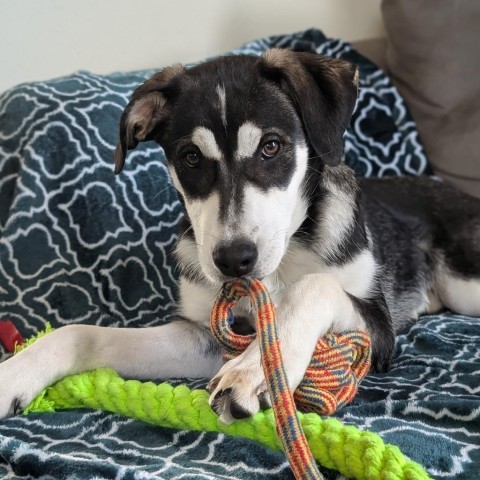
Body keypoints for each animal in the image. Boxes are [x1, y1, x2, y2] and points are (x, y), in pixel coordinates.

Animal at [0, 49, 480, 424]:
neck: (288, 252)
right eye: (191, 157)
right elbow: (82, 334)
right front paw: (14, 376)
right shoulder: (202, 334)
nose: (234, 261)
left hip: (464, 285)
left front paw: (257, 371)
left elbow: (315, 284)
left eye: (271, 147)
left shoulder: (378, 327)